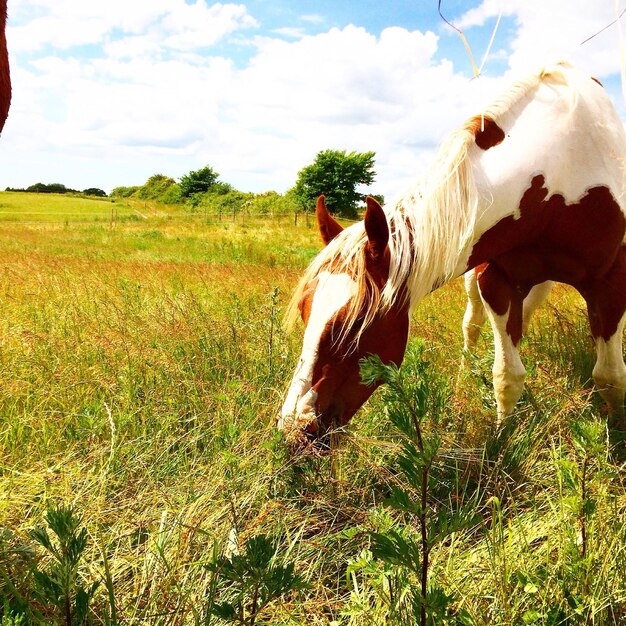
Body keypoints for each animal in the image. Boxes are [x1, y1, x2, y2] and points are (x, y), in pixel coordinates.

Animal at [280, 62, 624, 444]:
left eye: (353, 324)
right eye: (305, 310)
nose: (295, 429)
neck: (560, 171)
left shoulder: (611, 284)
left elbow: (610, 377)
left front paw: (614, 431)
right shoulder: (496, 281)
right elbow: (507, 376)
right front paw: (502, 441)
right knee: (472, 325)